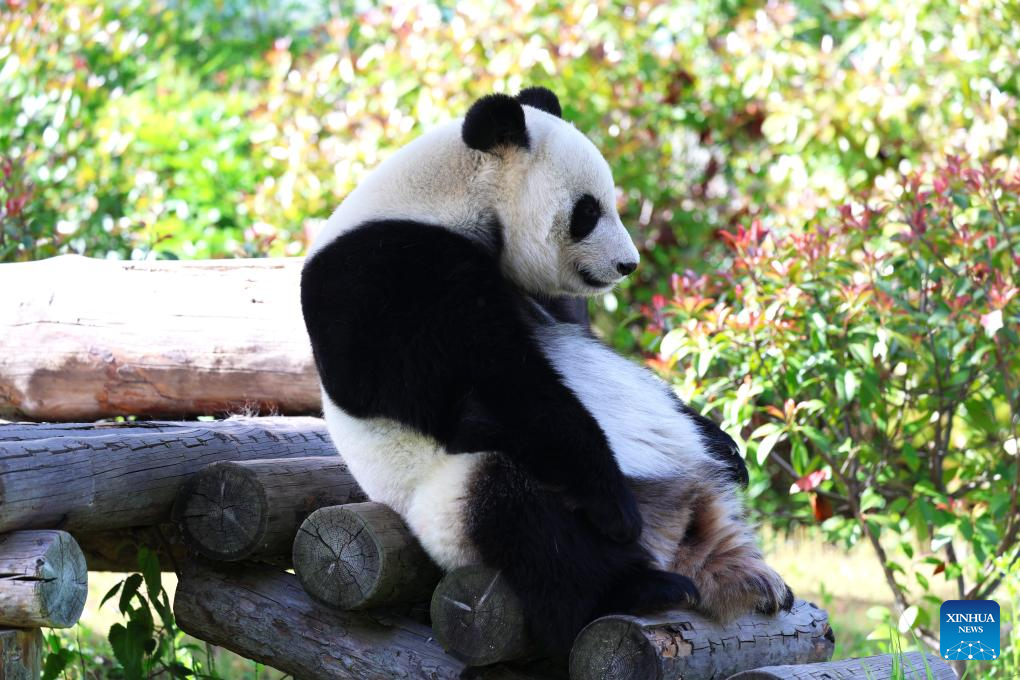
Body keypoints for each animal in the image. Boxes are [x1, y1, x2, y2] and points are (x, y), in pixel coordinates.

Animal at [297, 87, 791, 652]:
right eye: (588, 211)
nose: (628, 265)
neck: (448, 197)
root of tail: (669, 538)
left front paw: (725, 443)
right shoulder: (383, 276)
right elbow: (493, 387)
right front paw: (614, 504)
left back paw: (746, 576)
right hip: (452, 502)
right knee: (527, 521)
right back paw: (641, 585)